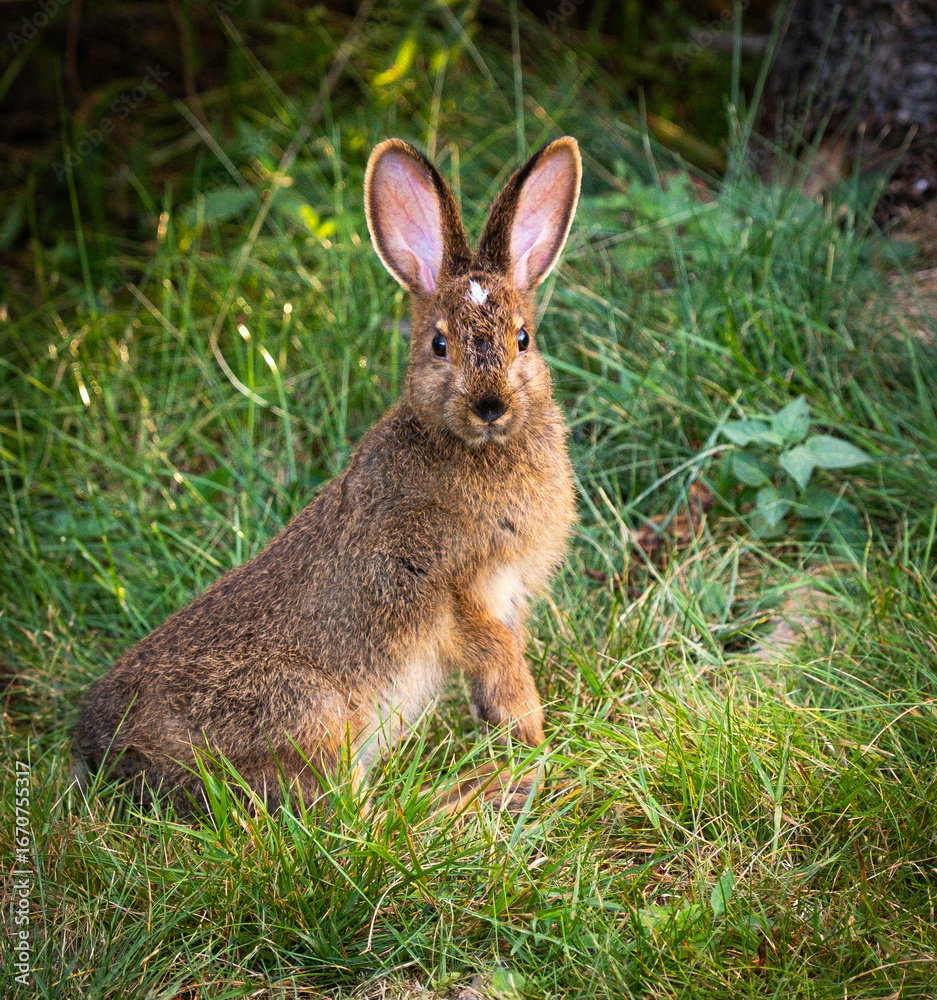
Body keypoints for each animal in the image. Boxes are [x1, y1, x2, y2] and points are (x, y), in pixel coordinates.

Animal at [72, 135, 582, 816]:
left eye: (523, 339)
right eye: (439, 346)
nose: (490, 405)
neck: (470, 445)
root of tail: (107, 756)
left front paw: (526, 741)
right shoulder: (447, 586)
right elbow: (498, 662)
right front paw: (529, 733)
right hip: (304, 710)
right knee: (351, 814)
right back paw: (484, 794)